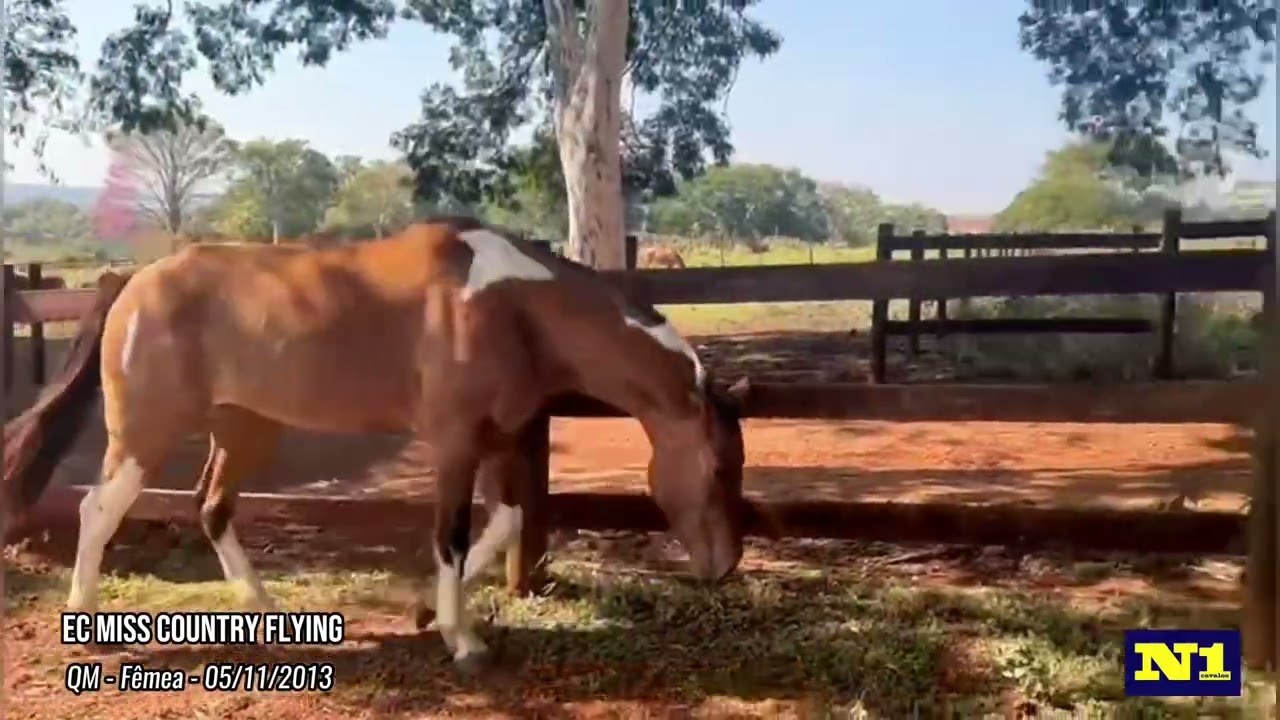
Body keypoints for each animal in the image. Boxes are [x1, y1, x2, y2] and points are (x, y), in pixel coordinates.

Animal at [3, 216, 764, 672]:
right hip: (146, 432)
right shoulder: (455, 442)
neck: (512, 308)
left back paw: (265, 609)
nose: (724, 565)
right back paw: (84, 620)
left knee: (211, 507)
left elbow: (507, 521)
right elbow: (451, 535)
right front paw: (463, 641)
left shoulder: (503, 437)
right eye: (718, 465)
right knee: (99, 510)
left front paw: (426, 612)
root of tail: (134, 281)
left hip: (245, 427)